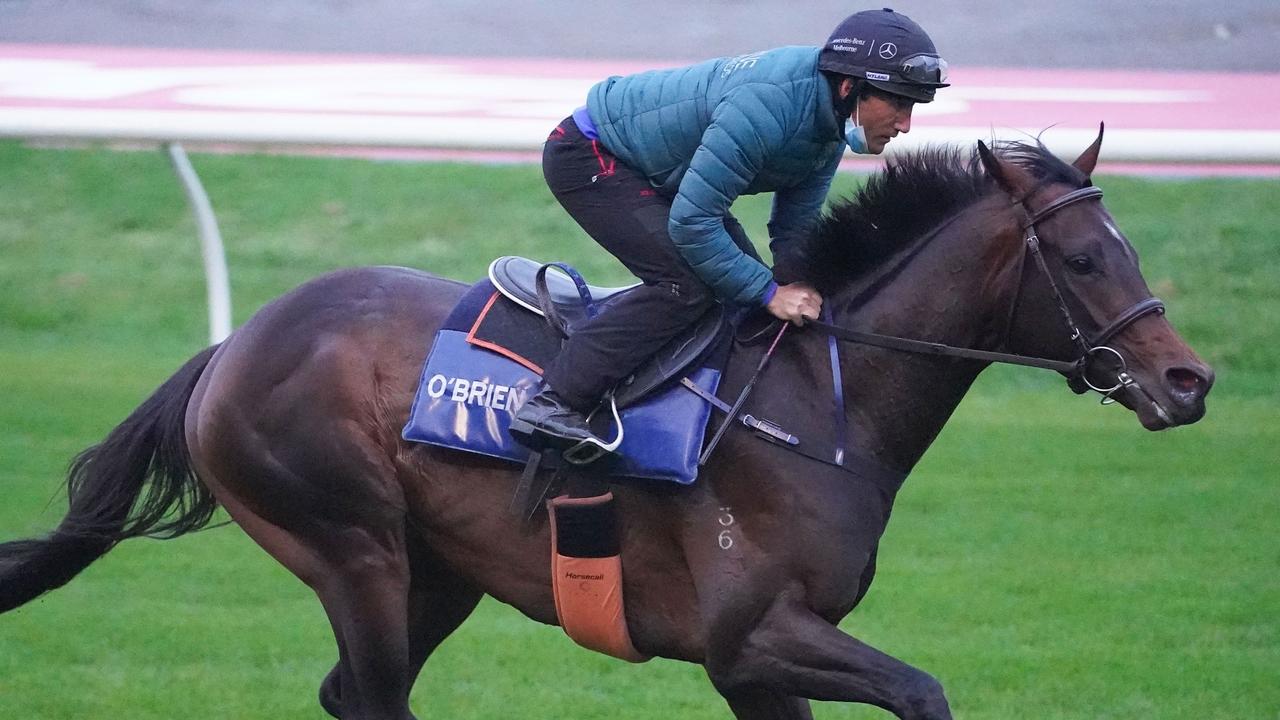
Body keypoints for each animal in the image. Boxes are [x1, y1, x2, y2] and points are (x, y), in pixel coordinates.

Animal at [0, 130, 1208, 717]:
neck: (819, 402)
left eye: (1131, 248)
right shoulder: (750, 636)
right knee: (373, 695)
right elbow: (924, 692)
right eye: (1086, 259)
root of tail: (234, 345)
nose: (1186, 380)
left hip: (437, 571)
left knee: (351, 695)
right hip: (350, 548)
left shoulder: (755, 671)